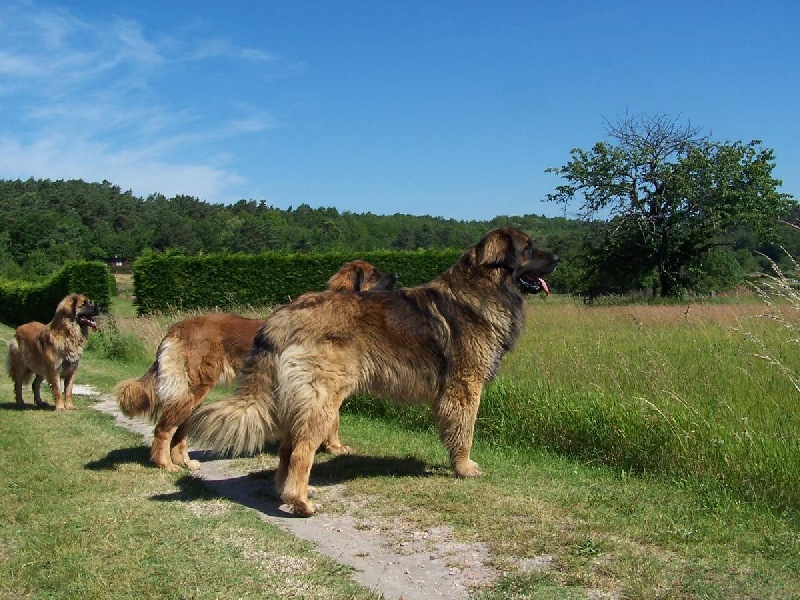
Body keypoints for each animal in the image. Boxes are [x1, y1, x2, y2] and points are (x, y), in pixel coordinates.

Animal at [115, 260, 396, 472]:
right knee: (164, 428)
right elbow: (333, 420)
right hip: (194, 388)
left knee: (179, 429)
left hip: (192, 394)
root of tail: (177, 327)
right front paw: (335, 447)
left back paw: (185, 462)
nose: (396, 274)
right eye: (374, 273)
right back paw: (165, 464)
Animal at [188, 230, 560, 516]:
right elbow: (464, 431)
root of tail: (283, 315)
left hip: (300, 400)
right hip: (321, 399)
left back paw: (288, 494)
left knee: (286, 449)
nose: (558, 257)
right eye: (528, 249)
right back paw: (301, 502)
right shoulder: (465, 385)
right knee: (301, 450)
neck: (484, 287)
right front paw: (465, 467)